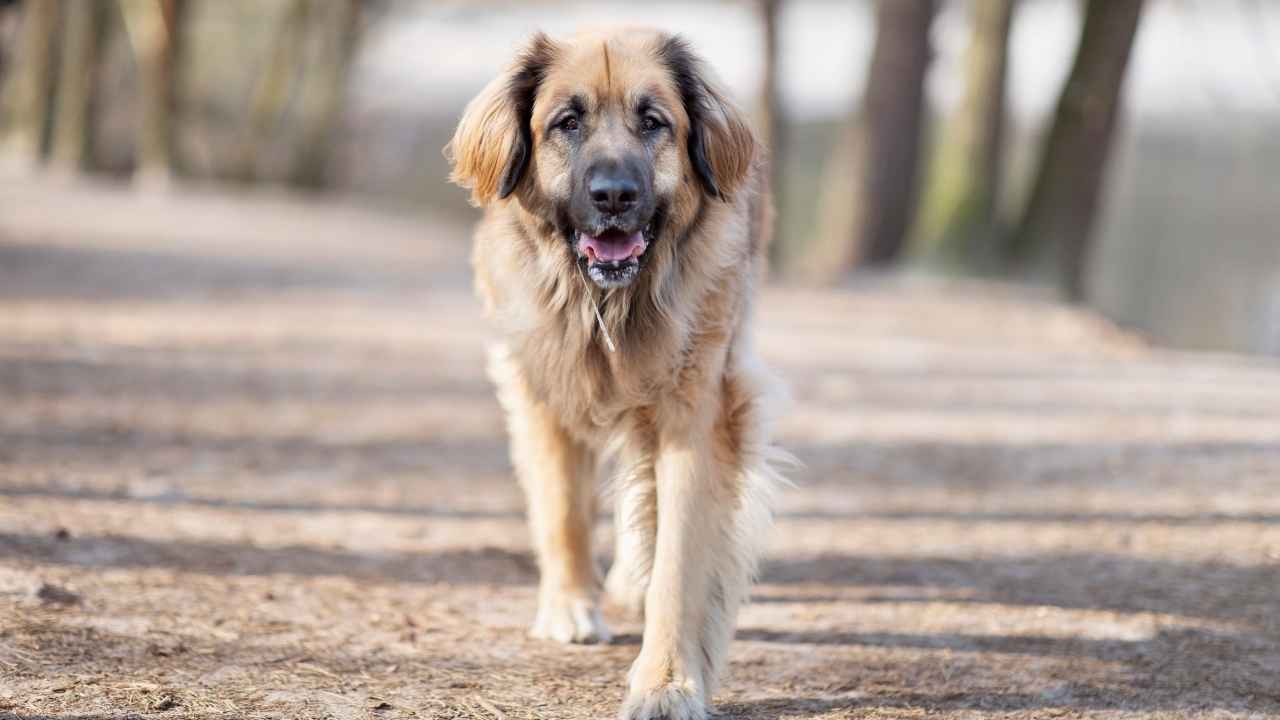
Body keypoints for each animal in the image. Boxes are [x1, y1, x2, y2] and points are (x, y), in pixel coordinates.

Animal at [450, 28, 788, 717]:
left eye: (653, 122)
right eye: (567, 122)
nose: (613, 196)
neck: (607, 307)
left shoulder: (696, 411)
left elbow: (679, 562)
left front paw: (667, 681)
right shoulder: (540, 385)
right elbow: (563, 508)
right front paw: (570, 607)